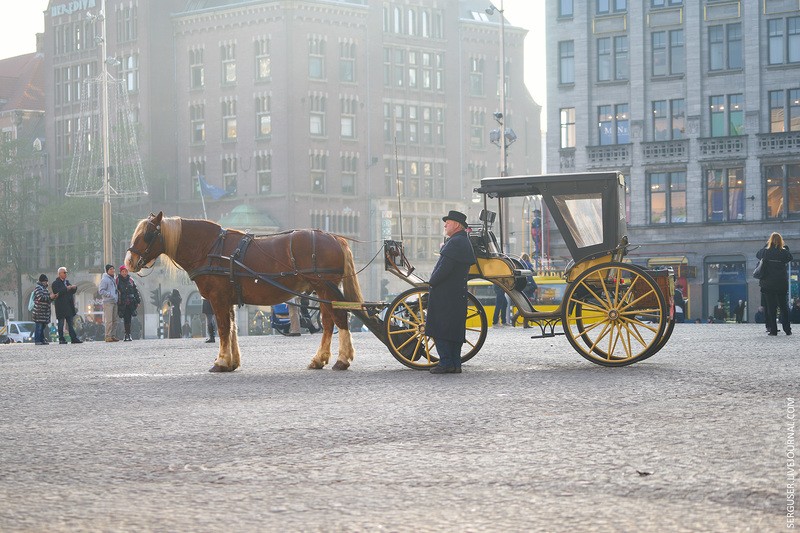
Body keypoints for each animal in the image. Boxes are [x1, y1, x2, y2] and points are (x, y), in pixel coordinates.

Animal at [124, 211, 362, 370]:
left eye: (147, 235)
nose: (129, 261)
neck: (210, 249)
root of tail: (334, 237)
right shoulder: (227, 298)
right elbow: (231, 328)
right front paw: (232, 361)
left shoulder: (217, 298)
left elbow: (222, 328)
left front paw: (221, 361)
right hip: (322, 290)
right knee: (329, 322)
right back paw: (319, 359)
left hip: (325, 288)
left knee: (339, 319)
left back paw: (342, 359)